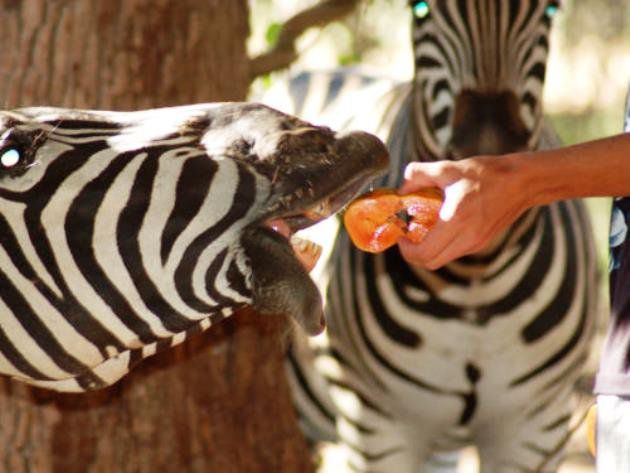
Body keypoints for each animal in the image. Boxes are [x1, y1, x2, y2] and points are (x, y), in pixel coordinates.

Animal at [264, 1, 600, 470]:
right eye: (420, 10)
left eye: (550, 11)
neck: (475, 280)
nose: (488, 150)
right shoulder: (375, 427)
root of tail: (319, 71)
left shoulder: (537, 427)